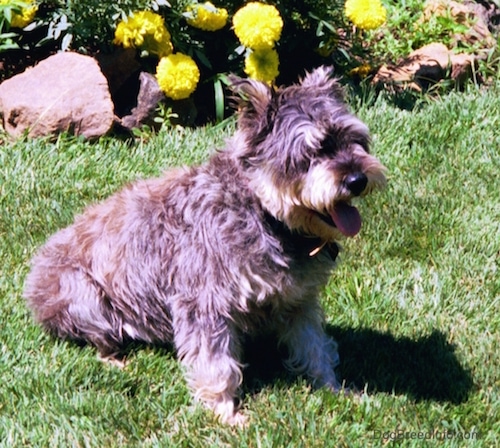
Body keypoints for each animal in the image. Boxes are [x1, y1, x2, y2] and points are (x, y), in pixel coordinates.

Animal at [24, 65, 386, 424]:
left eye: (355, 140)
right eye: (312, 152)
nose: (357, 179)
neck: (263, 211)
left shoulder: (299, 300)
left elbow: (315, 346)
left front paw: (336, 388)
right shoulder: (205, 303)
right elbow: (217, 363)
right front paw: (224, 411)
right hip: (83, 295)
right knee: (97, 336)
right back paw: (115, 360)